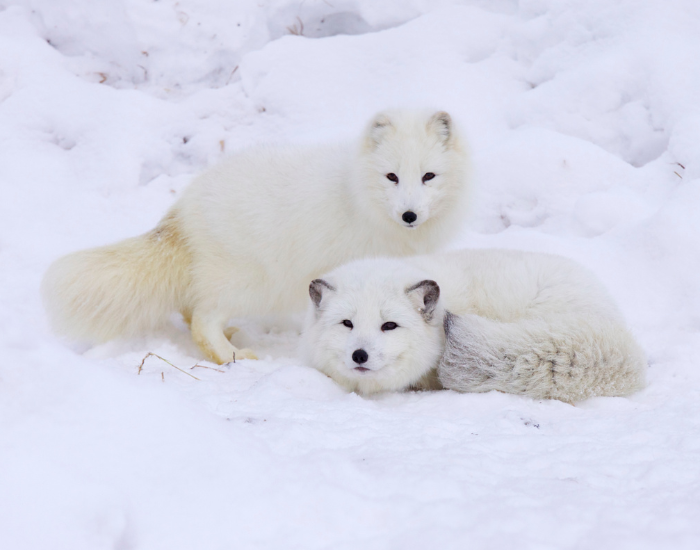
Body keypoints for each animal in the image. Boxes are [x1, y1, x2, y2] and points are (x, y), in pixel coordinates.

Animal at [42, 110, 470, 363]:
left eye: (428, 176)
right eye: (391, 176)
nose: (410, 215)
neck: (359, 196)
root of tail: (184, 208)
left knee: (191, 309)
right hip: (251, 282)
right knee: (202, 319)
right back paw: (232, 356)